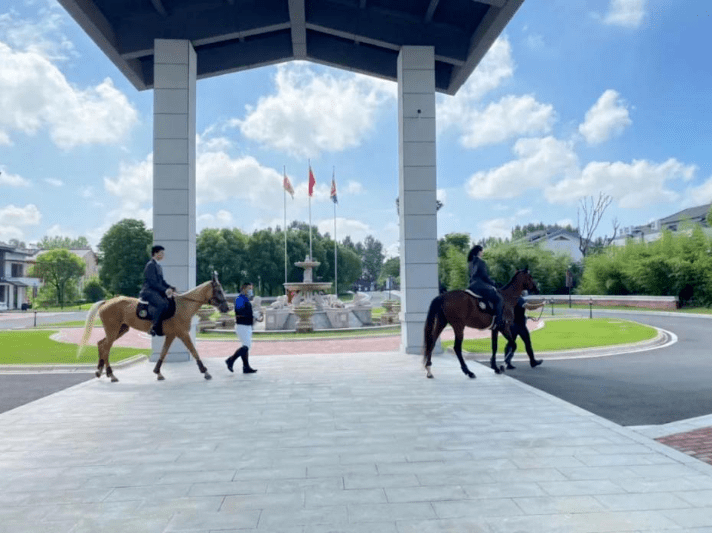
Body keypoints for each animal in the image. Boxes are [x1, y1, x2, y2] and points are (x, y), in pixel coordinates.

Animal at [77, 274, 228, 384]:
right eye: (219, 290)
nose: (226, 308)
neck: (183, 306)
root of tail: (107, 301)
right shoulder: (183, 334)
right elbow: (194, 351)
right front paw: (205, 371)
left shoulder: (172, 335)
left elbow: (163, 352)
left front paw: (158, 372)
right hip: (113, 330)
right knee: (106, 348)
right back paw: (111, 374)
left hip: (120, 329)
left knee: (101, 344)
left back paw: (100, 371)